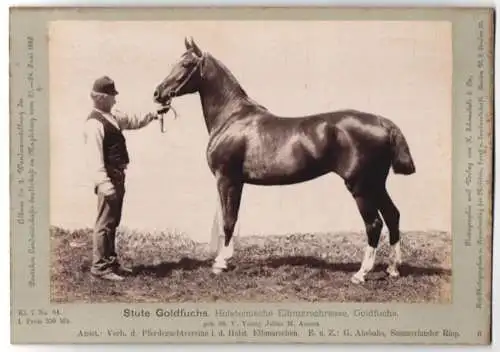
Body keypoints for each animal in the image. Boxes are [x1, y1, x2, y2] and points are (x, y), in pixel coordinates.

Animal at [154, 37, 416, 284]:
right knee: (393, 216)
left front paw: (221, 262)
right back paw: (393, 269)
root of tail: (383, 122)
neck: (232, 117)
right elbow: (230, 219)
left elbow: (228, 220)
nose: (158, 93)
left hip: (360, 187)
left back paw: (361, 273)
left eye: (186, 64)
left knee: (374, 224)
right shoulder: (236, 182)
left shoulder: (226, 179)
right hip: (376, 184)